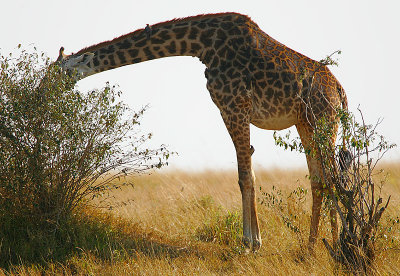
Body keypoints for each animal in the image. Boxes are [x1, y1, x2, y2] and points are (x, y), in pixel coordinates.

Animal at [55, 12, 346, 251]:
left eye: (58, 72)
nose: (45, 90)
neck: (201, 45)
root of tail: (340, 91)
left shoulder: (234, 107)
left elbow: (245, 176)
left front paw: (250, 243)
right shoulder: (232, 110)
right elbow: (250, 173)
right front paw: (255, 239)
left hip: (323, 120)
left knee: (333, 179)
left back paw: (337, 246)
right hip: (305, 123)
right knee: (319, 181)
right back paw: (311, 247)